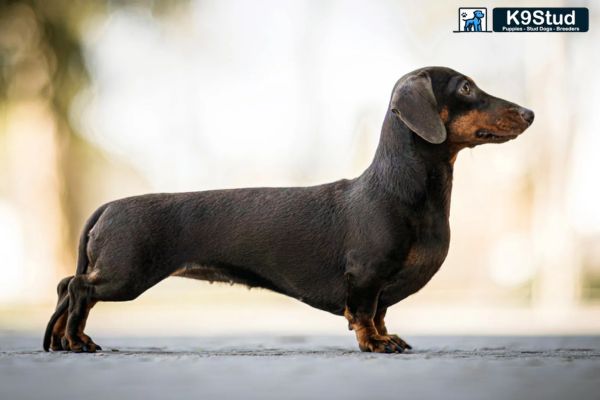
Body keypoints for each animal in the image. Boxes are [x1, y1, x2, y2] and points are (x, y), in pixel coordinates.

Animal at [43, 65, 536, 354]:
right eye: (466, 87)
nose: (530, 113)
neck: (403, 190)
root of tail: (108, 206)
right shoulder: (367, 275)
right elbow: (365, 313)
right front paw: (375, 343)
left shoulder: (380, 286)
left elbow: (381, 312)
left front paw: (386, 335)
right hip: (126, 275)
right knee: (78, 289)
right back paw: (76, 340)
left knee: (69, 288)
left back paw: (69, 339)